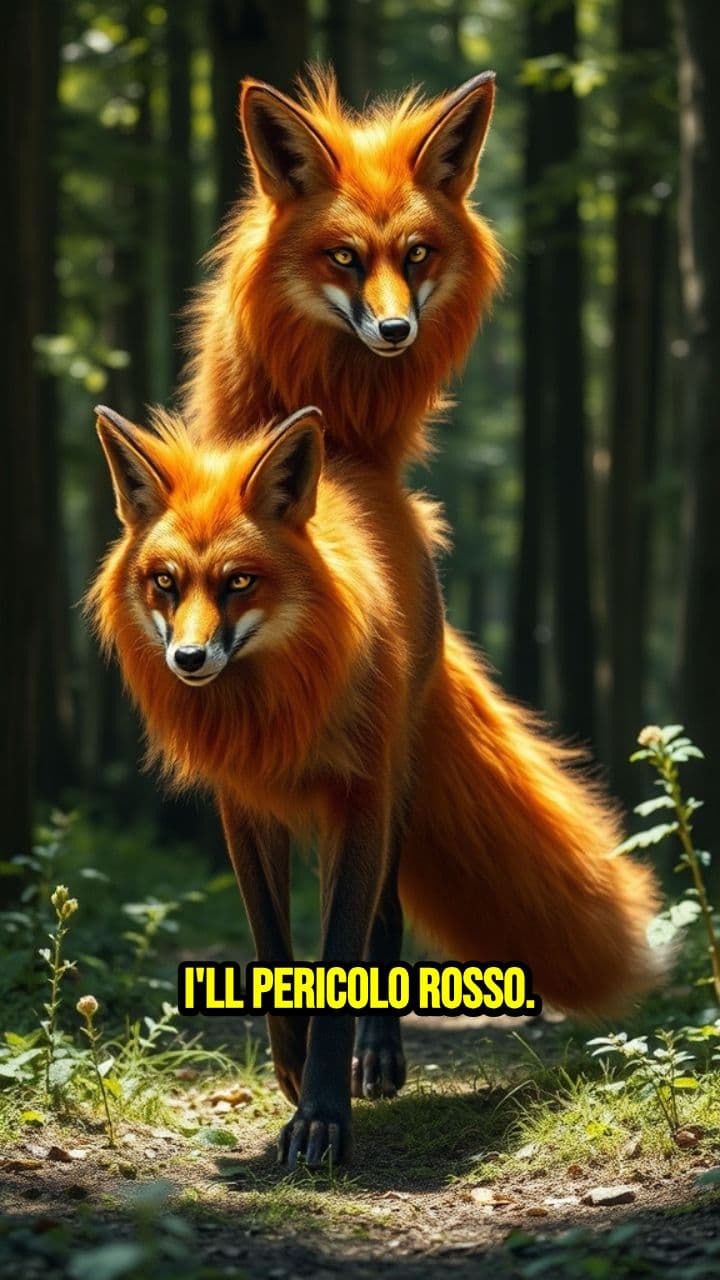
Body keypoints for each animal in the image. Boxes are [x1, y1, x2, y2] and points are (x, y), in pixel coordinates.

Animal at [90, 402, 659, 1167]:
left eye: (239, 582)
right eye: (165, 583)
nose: (188, 657)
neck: (271, 707)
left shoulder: (358, 796)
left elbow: (340, 958)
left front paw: (322, 1115)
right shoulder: (243, 806)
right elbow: (273, 946)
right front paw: (294, 1069)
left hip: (399, 779)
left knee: (386, 911)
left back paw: (380, 1050)